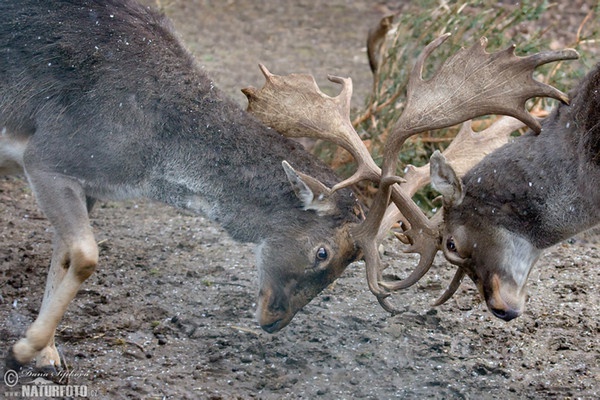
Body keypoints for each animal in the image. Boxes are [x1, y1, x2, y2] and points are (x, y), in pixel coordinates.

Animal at [2, 0, 580, 376]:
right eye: (322, 251)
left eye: (346, 265)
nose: (273, 321)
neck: (149, 153)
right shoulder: (51, 153)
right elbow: (84, 253)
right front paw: (27, 350)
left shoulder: (90, 183)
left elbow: (62, 254)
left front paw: (44, 349)